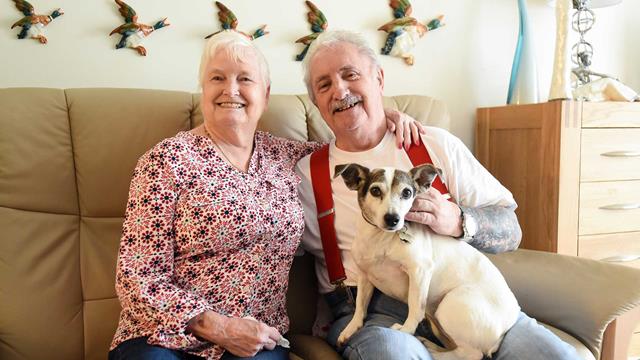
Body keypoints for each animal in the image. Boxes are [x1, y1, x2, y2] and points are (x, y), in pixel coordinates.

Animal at [336, 164, 520, 360]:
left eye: (407, 193)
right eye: (375, 190)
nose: (393, 219)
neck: (381, 238)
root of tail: (507, 325)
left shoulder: (419, 271)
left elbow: (415, 308)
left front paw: (406, 330)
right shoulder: (364, 276)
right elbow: (360, 306)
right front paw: (351, 328)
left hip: (450, 304)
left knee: (470, 354)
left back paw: (433, 351)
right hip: (440, 323)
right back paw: (432, 345)